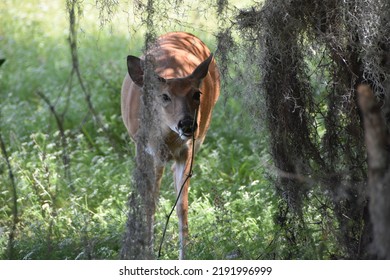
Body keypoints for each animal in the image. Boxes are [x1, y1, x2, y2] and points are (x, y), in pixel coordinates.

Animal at [120, 31, 221, 260]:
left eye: (197, 94)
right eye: (164, 96)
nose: (187, 124)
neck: (167, 138)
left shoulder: (188, 150)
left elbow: (182, 206)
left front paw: (184, 255)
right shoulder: (147, 150)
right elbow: (150, 203)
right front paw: (148, 252)